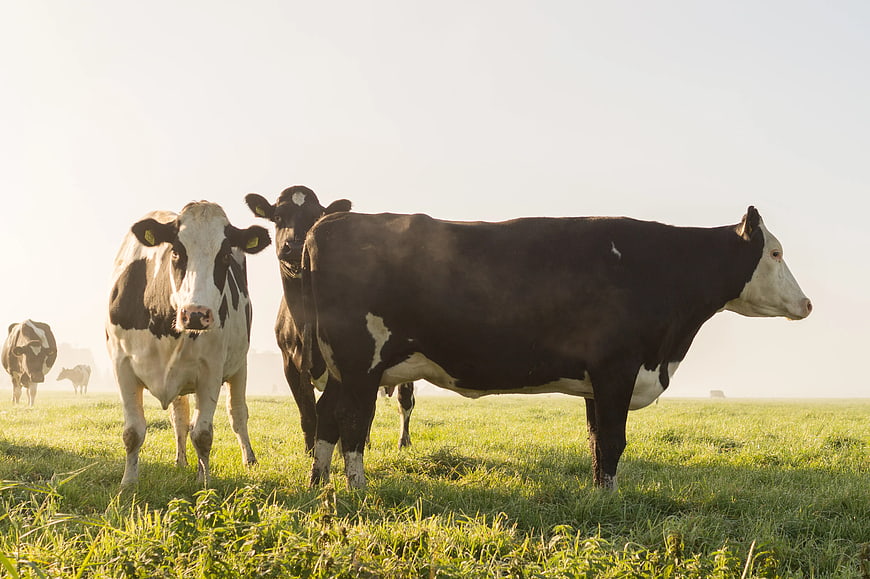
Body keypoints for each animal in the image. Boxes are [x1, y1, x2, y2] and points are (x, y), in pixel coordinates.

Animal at [106, 201, 270, 486]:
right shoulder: (122, 365)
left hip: (240, 366)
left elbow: (203, 434)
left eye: (224, 256)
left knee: (237, 413)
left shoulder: (211, 371)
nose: (196, 313)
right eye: (176, 252)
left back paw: (248, 459)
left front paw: (204, 483)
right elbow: (133, 432)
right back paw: (180, 461)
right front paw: (128, 483)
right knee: (180, 418)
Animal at [245, 185, 416, 452]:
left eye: (316, 216)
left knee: (404, 401)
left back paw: (402, 441)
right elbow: (308, 413)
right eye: (278, 217)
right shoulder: (289, 363)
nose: (295, 246)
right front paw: (310, 450)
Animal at [302, 206, 812, 490]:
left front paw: (601, 495)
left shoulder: (596, 381)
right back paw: (357, 488)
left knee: (327, 417)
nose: (807, 304)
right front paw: (610, 500)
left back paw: (319, 483)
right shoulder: (616, 369)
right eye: (775, 253)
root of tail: (328, 222)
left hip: (343, 368)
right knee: (352, 422)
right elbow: (613, 440)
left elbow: (596, 441)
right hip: (360, 363)